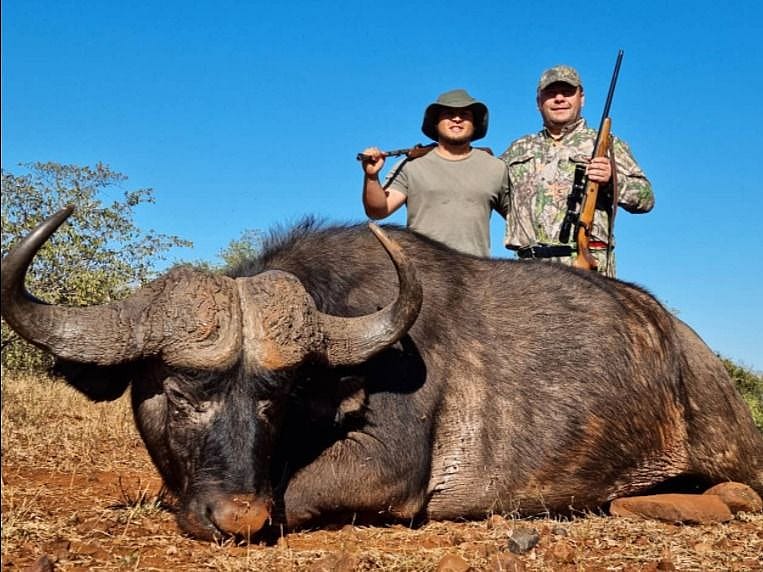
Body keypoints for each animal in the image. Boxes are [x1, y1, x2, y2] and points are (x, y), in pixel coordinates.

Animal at [2, 207, 761, 541]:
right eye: (180, 392)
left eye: (277, 399)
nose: (239, 517)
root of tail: (687, 347)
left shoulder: (387, 471)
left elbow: (298, 493)